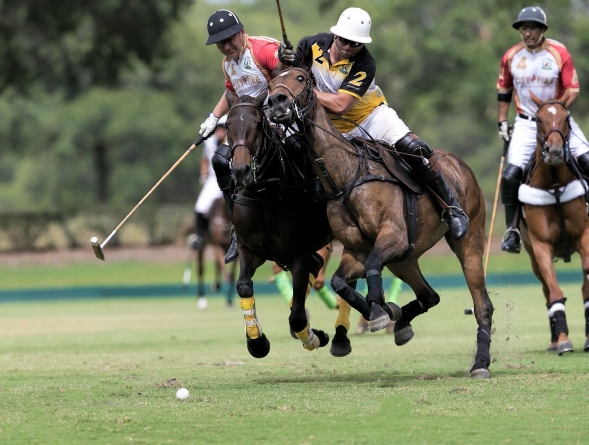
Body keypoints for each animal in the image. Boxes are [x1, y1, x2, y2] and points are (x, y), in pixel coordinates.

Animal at [225, 92, 336, 356]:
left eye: (258, 124)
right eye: (227, 126)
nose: (241, 171)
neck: (265, 194)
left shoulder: (298, 255)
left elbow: (296, 315)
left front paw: (314, 337)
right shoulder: (250, 250)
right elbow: (244, 286)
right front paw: (256, 341)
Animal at [266, 67, 492, 378]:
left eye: (300, 78)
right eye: (271, 82)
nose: (276, 102)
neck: (346, 177)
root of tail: (461, 164)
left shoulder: (393, 236)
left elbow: (372, 265)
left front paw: (379, 310)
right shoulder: (357, 250)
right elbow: (338, 281)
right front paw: (381, 312)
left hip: (468, 243)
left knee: (482, 305)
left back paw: (480, 364)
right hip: (404, 259)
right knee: (430, 295)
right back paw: (402, 322)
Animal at [516, 93, 584, 354]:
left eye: (567, 118)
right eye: (538, 120)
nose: (555, 152)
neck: (554, 186)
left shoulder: (585, 236)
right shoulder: (541, 245)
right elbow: (555, 291)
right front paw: (563, 339)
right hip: (532, 256)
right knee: (546, 291)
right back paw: (555, 340)